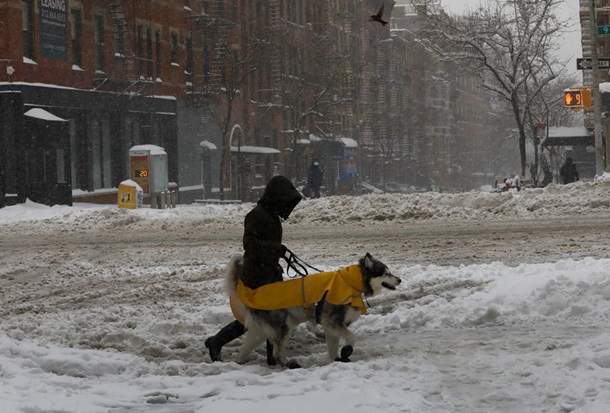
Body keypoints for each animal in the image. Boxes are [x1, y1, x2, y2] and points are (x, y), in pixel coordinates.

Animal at [223, 253, 400, 366]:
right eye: (386, 273)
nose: (399, 280)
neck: (350, 282)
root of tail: (252, 295)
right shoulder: (334, 322)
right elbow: (352, 338)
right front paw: (347, 350)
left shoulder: (331, 327)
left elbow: (332, 349)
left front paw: (338, 359)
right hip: (282, 328)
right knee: (277, 353)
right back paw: (288, 364)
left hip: (262, 332)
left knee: (244, 351)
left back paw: (240, 362)